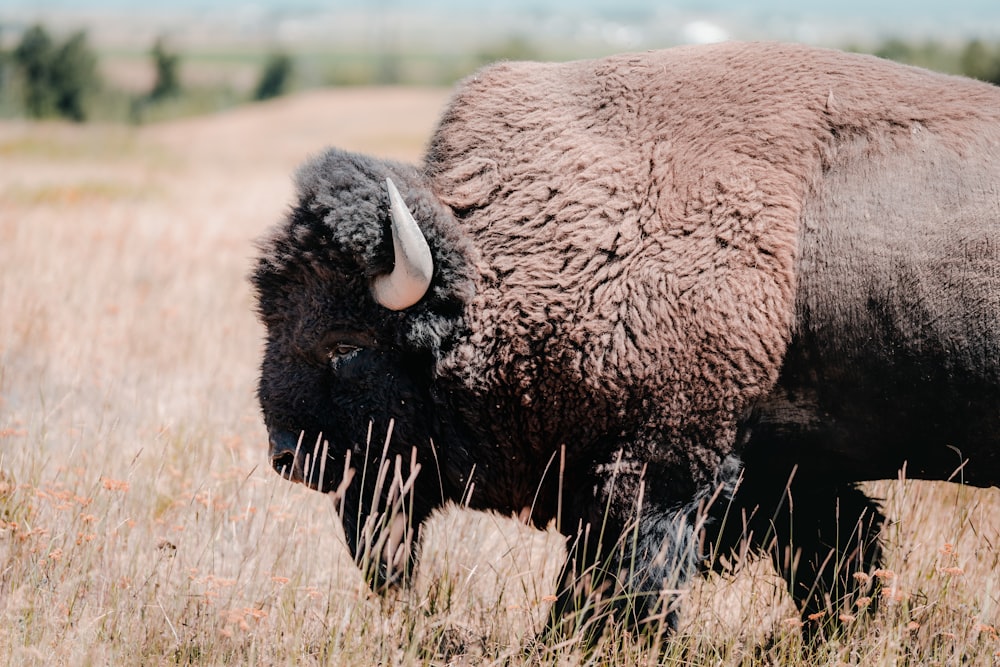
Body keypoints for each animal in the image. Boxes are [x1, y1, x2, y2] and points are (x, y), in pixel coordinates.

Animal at [252, 40, 1000, 640]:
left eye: (346, 344)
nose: (288, 454)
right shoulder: (783, 473)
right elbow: (837, 563)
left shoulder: (656, 468)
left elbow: (625, 587)